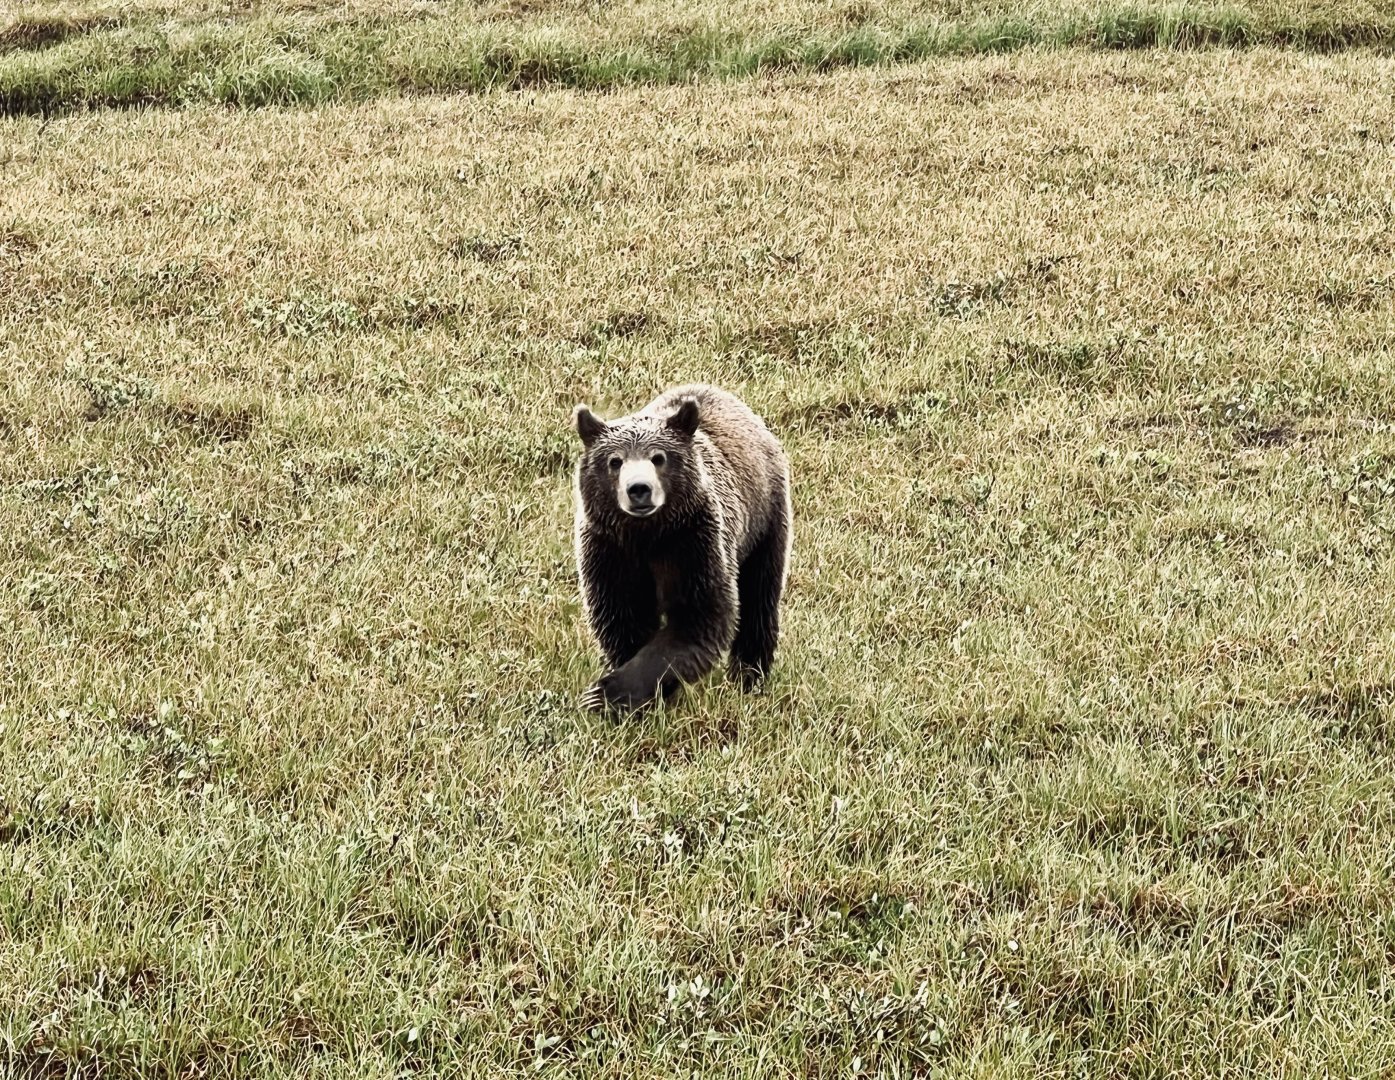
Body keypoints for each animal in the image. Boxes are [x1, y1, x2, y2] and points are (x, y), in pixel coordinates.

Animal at [571, 384, 792, 713]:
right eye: (615, 461)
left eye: (658, 457)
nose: (639, 489)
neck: (647, 535)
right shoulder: (610, 550)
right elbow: (623, 617)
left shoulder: (691, 544)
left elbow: (697, 618)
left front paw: (605, 695)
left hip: (763, 521)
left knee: (759, 597)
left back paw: (749, 677)